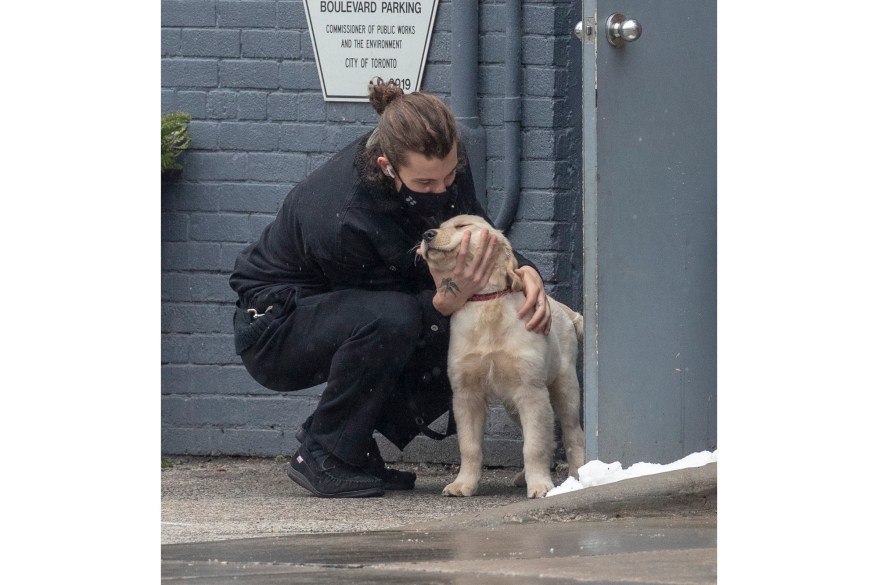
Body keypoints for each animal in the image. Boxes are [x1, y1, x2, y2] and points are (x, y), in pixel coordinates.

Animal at [420, 214, 584, 498]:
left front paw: (540, 485)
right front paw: (463, 484)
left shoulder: (531, 390)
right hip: (512, 404)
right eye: (438, 226)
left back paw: (579, 475)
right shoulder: (466, 394)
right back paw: (523, 476)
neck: (486, 301)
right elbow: (470, 446)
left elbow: (534, 445)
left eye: (462, 226)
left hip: (564, 387)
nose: (426, 235)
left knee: (573, 433)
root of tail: (563, 309)